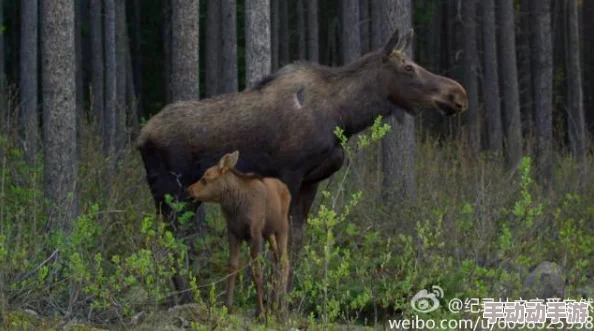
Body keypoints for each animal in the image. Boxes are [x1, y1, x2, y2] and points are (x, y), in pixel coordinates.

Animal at [186, 152, 290, 318]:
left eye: (205, 179)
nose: (189, 190)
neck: (233, 206)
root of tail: (286, 189)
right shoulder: (234, 232)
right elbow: (232, 266)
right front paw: (228, 305)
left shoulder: (254, 234)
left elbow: (256, 271)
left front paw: (260, 312)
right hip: (269, 233)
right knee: (277, 261)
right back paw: (274, 306)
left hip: (282, 229)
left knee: (285, 261)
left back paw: (282, 309)